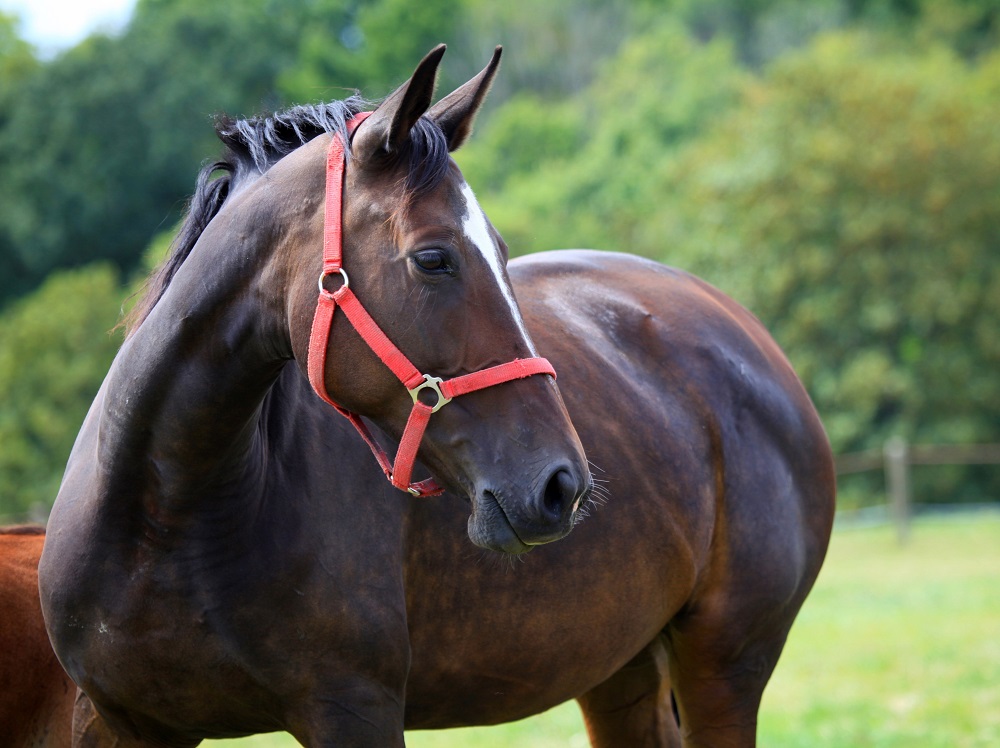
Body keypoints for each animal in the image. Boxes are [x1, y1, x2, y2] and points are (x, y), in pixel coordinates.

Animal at [39, 43, 836, 744]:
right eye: (433, 258)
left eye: (505, 254)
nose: (561, 486)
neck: (166, 513)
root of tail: (747, 336)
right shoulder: (121, 723)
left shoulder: (352, 710)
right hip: (622, 668)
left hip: (724, 665)